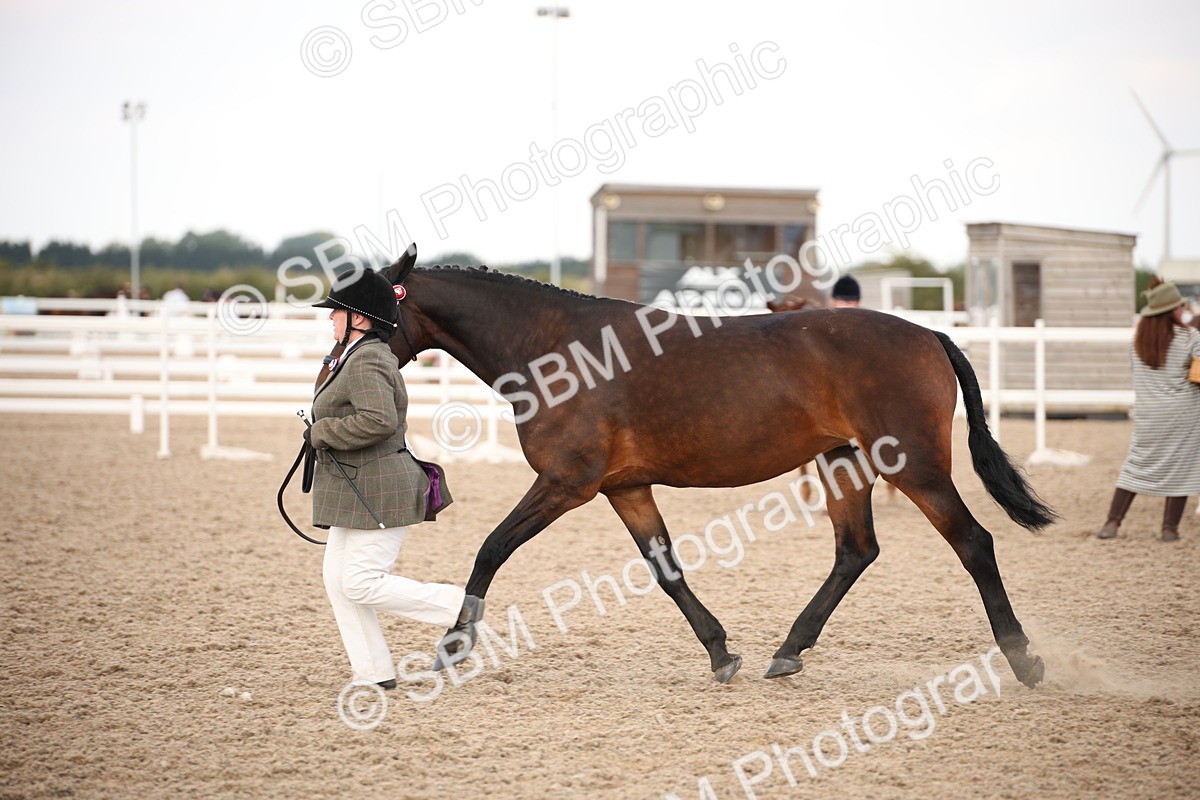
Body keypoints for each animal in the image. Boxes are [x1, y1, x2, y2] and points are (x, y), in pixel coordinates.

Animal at [314, 250, 1054, 687]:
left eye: (355, 317)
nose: (328, 373)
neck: (557, 349)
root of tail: (928, 333)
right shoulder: (624, 486)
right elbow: (665, 567)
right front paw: (721, 652)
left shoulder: (567, 482)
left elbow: (491, 548)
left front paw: (454, 645)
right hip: (843, 461)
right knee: (856, 550)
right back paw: (788, 650)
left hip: (916, 466)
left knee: (973, 543)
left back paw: (1025, 659)